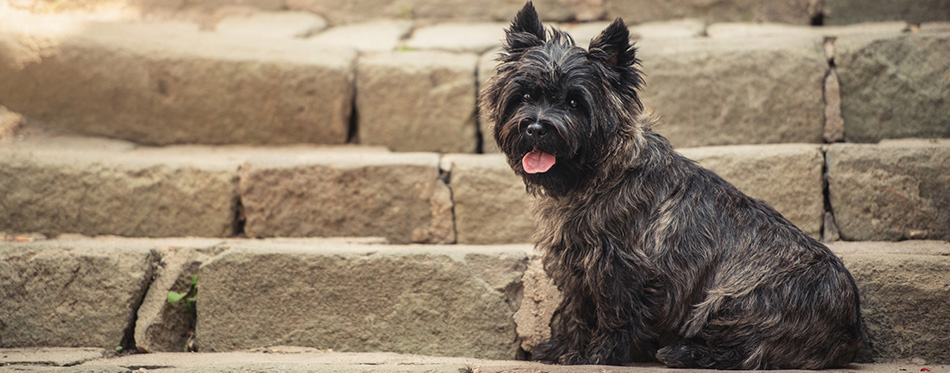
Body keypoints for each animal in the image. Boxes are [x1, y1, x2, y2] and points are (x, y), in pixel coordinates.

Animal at [480, 2, 868, 370]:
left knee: (748, 350)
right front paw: (563, 349)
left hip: (733, 297)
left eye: (575, 102)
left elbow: (613, 313)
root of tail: (850, 330)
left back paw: (683, 352)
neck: (598, 175)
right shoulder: (578, 265)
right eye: (525, 96)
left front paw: (598, 354)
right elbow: (577, 310)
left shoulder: (618, 266)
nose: (536, 128)